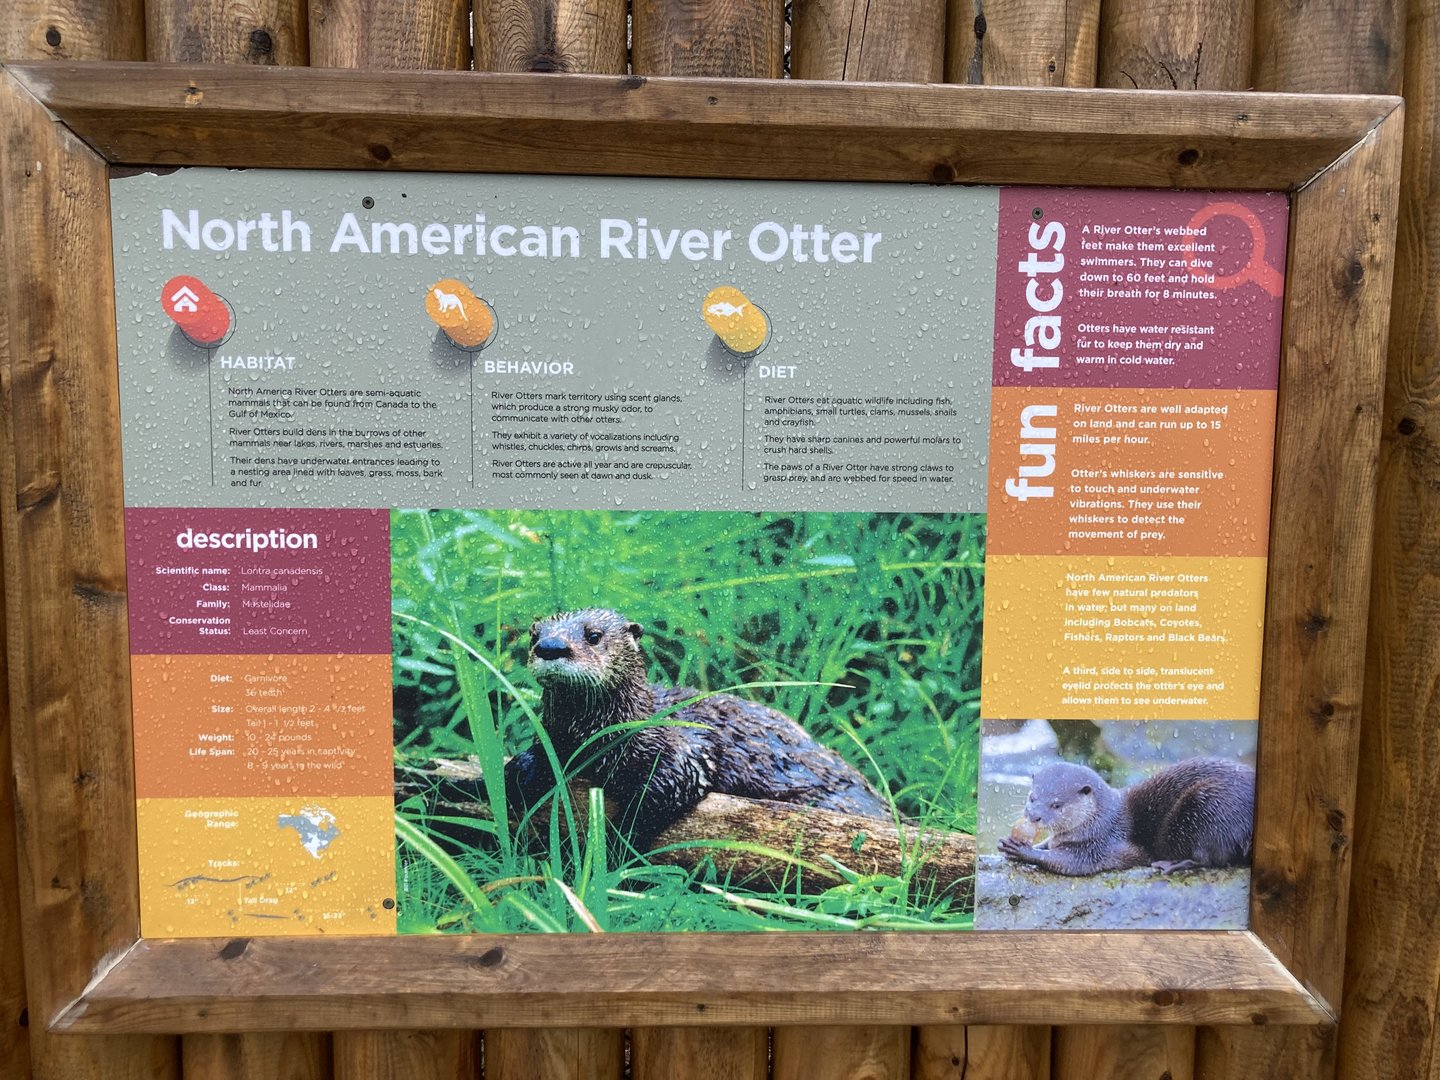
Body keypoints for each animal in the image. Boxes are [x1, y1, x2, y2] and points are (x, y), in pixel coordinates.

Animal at [502, 608, 890, 846]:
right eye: (534, 635)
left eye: (593, 635)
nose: (551, 646)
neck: (603, 733)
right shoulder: (561, 737)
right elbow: (546, 752)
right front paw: (521, 769)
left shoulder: (681, 746)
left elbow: (671, 781)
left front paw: (621, 839)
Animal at [997, 758, 1254, 875]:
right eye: (1032, 797)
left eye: (1056, 804)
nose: (1034, 815)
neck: (1101, 821)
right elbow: (1049, 844)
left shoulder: (1102, 845)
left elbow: (1071, 862)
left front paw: (1021, 850)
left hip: (1210, 806)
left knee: (1209, 859)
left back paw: (1169, 864)